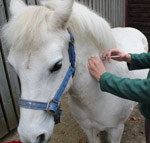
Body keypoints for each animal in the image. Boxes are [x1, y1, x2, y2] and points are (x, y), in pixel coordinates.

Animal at [1, 0, 148, 142]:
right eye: (12, 65)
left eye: (57, 65)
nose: (29, 136)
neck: (96, 97)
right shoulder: (89, 129)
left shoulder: (115, 130)